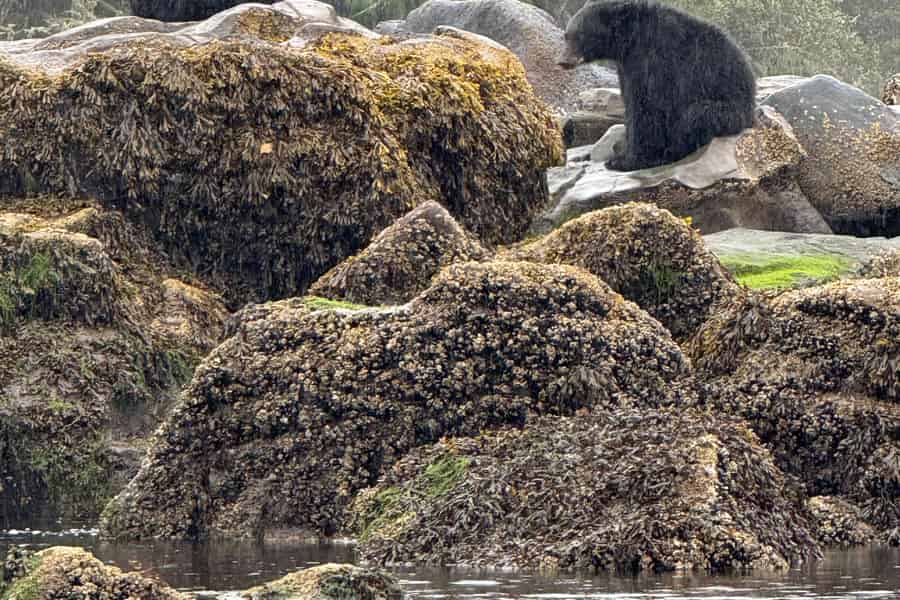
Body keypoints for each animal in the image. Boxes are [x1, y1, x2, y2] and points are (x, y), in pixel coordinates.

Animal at [558, 0, 756, 172]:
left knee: (696, 116)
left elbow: (648, 105)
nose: (562, 61)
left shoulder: (656, 58)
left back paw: (671, 152)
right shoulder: (627, 66)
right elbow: (630, 103)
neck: (631, 38)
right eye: (566, 36)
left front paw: (625, 161)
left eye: (579, 35)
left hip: (729, 111)